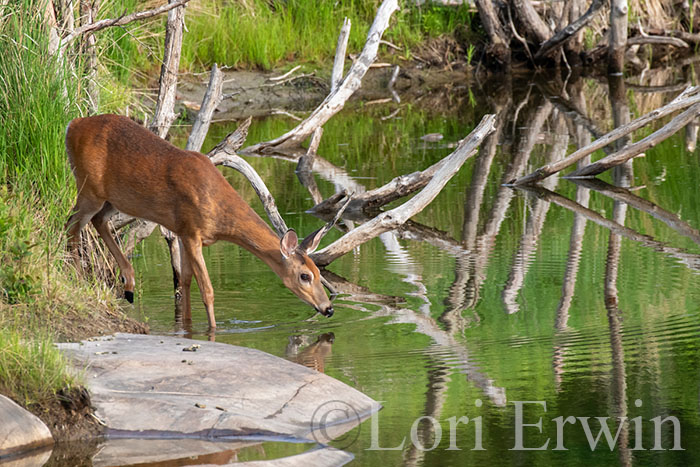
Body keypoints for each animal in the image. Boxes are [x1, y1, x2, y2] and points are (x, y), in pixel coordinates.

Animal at [64, 114, 334, 329]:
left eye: (318, 271)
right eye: (304, 276)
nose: (328, 308)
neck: (220, 215)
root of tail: (72, 125)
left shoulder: (183, 233)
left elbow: (184, 283)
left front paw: (186, 326)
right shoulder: (192, 232)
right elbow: (207, 290)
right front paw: (213, 329)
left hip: (113, 199)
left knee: (97, 221)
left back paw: (128, 284)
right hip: (88, 187)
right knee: (71, 223)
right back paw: (79, 278)